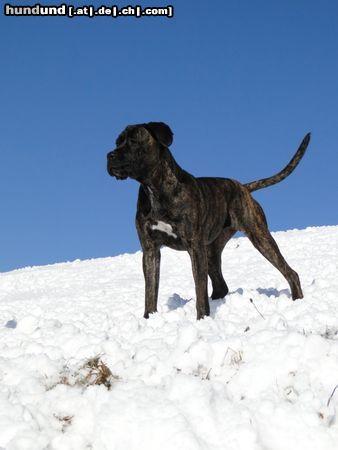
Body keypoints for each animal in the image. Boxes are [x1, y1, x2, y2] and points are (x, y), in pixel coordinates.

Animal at [107, 123, 310, 320]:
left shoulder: (194, 247)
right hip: (212, 251)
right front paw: (149, 319)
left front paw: (201, 319)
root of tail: (244, 187)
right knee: (221, 286)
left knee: (290, 272)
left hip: (259, 237)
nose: (109, 155)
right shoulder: (150, 249)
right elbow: (150, 292)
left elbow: (200, 290)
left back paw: (298, 300)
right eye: (117, 142)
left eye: (133, 140)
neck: (154, 189)